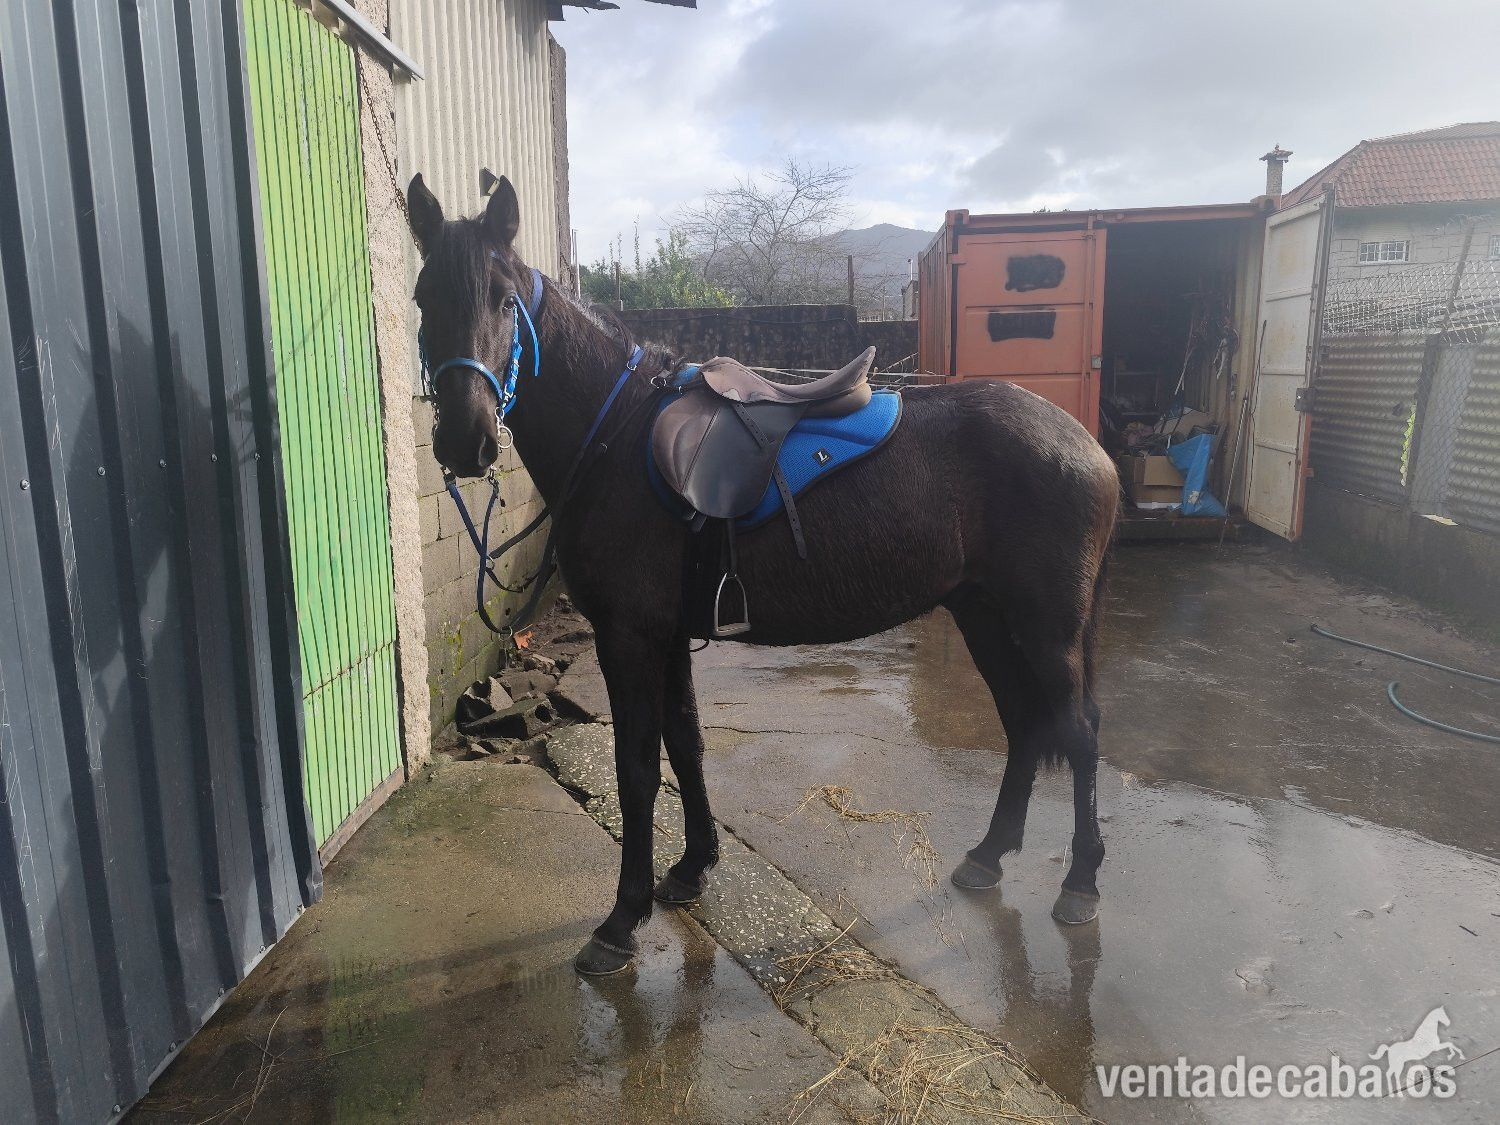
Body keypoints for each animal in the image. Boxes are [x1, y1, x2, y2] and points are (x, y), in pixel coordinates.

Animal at [406, 173, 1119, 975]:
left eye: (505, 300)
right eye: (424, 296)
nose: (466, 440)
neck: (616, 434)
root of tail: (1084, 444)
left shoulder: (629, 636)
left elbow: (636, 767)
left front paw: (622, 919)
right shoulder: (667, 636)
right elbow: (684, 743)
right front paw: (692, 867)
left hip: (1047, 626)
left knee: (1078, 729)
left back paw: (1080, 883)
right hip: (984, 614)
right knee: (1025, 722)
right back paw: (990, 854)